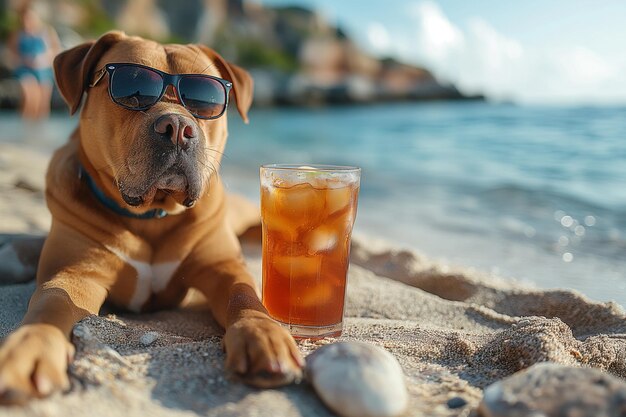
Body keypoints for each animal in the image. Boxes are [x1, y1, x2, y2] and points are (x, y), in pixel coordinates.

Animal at [0, 30, 302, 402]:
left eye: (205, 100)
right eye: (133, 87)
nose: (177, 126)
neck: (152, 214)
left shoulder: (223, 266)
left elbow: (245, 296)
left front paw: (264, 335)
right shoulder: (74, 273)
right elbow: (50, 305)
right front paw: (29, 349)